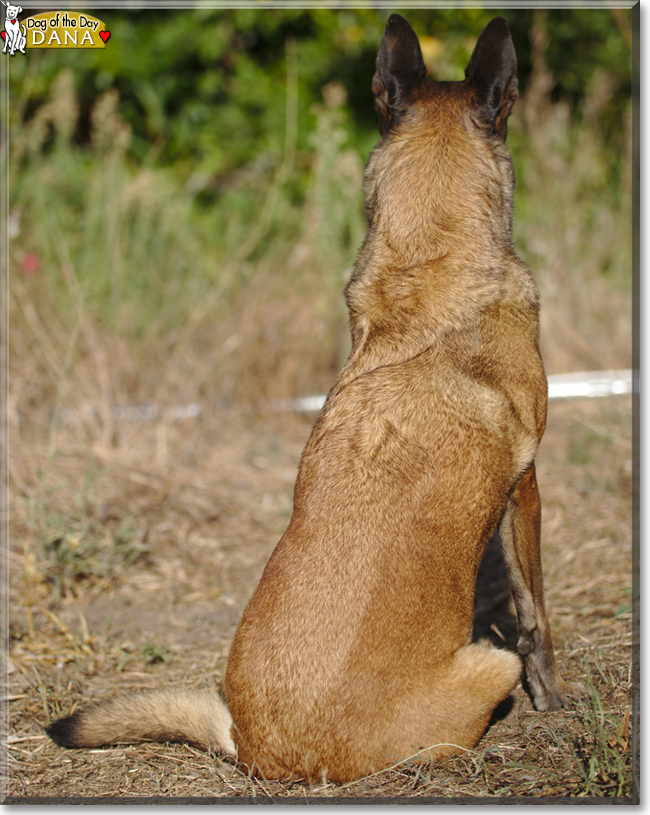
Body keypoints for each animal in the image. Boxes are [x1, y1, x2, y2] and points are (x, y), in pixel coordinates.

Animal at [45, 15, 576, 788]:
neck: (429, 270)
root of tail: (262, 750)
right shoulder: (527, 485)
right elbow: (537, 615)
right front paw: (556, 700)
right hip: (488, 661)